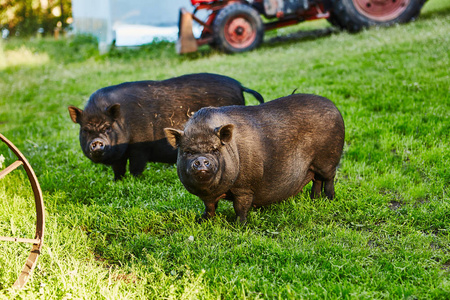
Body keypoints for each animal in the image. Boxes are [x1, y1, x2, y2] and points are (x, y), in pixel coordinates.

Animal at [67, 72, 264, 180]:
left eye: (107, 127)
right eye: (85, 129)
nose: (96, 142)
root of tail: (239, 85)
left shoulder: (140, 148)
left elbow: (135, 168)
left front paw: (135, 180)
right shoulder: (119, 156)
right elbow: (118, 170)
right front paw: (117, 182)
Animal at [165, 93, 344, 223]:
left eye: (215, 149)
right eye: (188, 151)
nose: (201, 160)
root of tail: (333, 106)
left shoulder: (244, 187)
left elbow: (240, 207)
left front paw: (239, 225)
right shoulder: (207, 197)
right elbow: (209, 207)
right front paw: (203, 221)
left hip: (328, 160)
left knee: (329, 179)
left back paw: (329, 199)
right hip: (314, 166)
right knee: (317, 180)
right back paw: (315, 199)